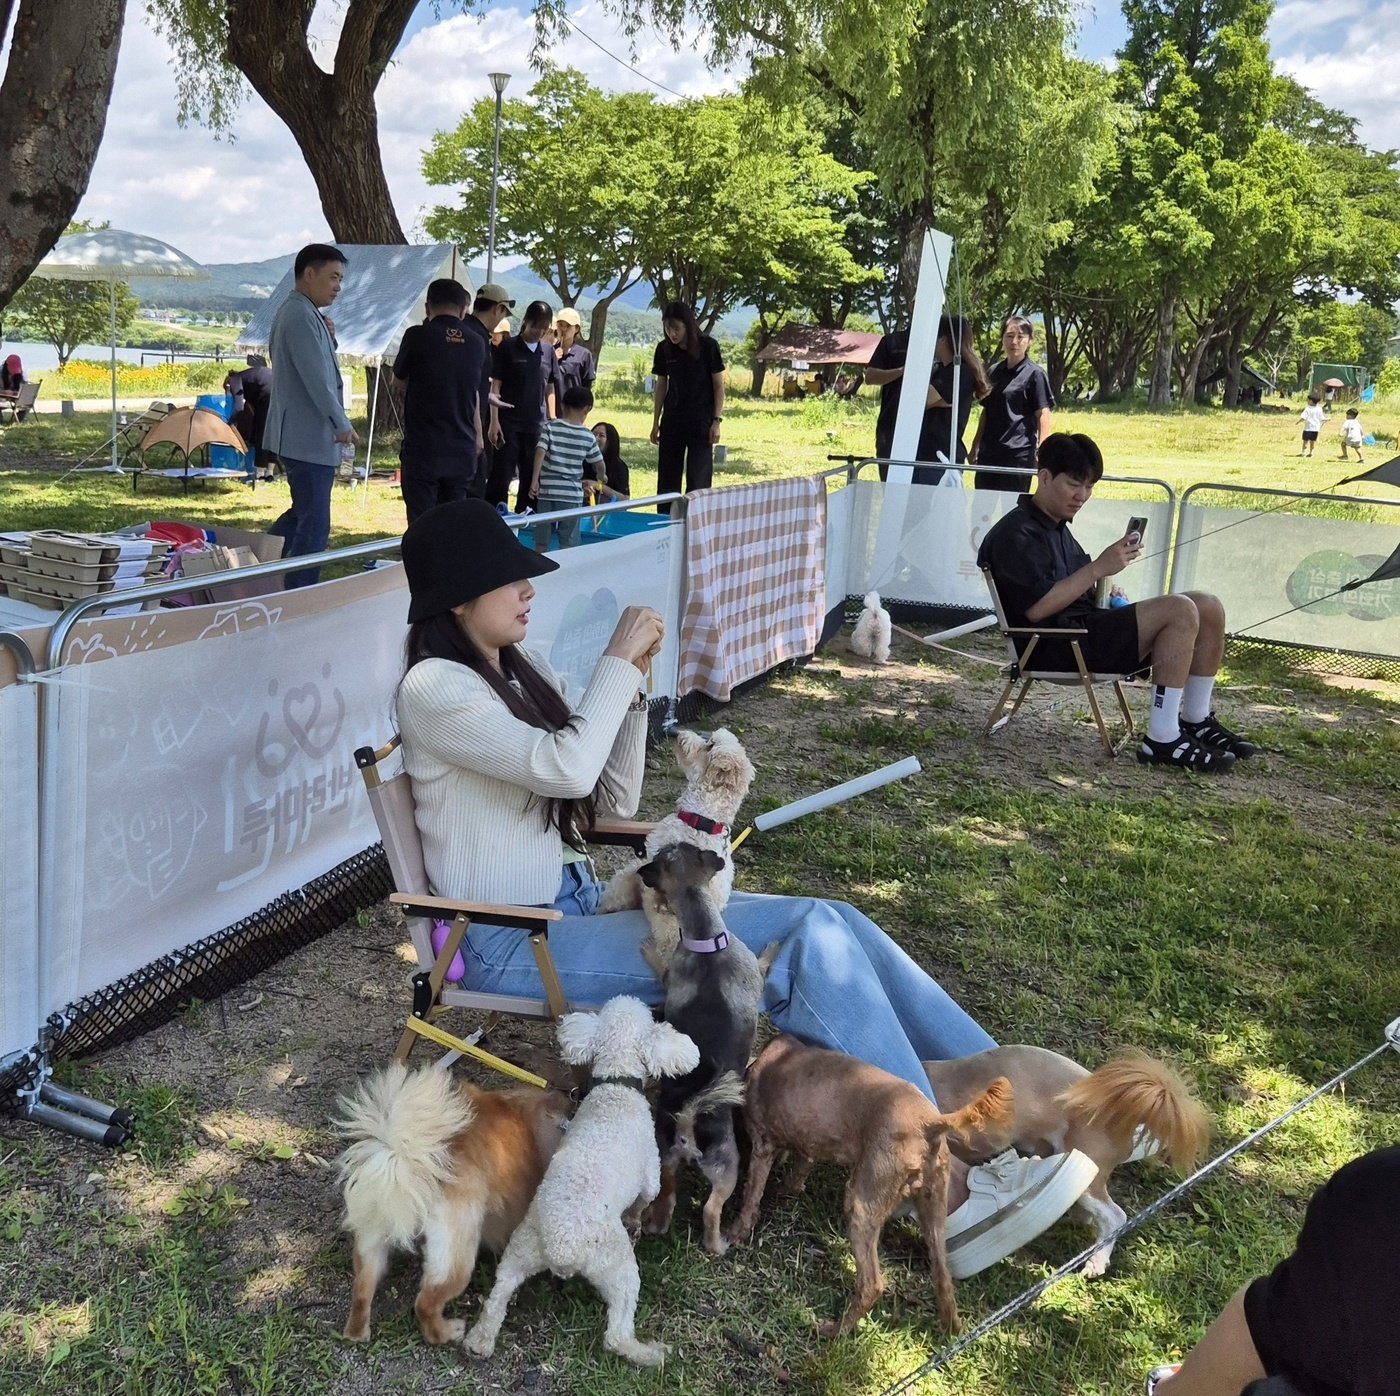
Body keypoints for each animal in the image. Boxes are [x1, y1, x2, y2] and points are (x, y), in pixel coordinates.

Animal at [333, 1064, 568, 1344]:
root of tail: (406, 1156)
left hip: (374, 1234)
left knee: (361, 1289)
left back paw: (357, 1332)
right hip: (456, 1254)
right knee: (425, 1303)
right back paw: (447, 1331)